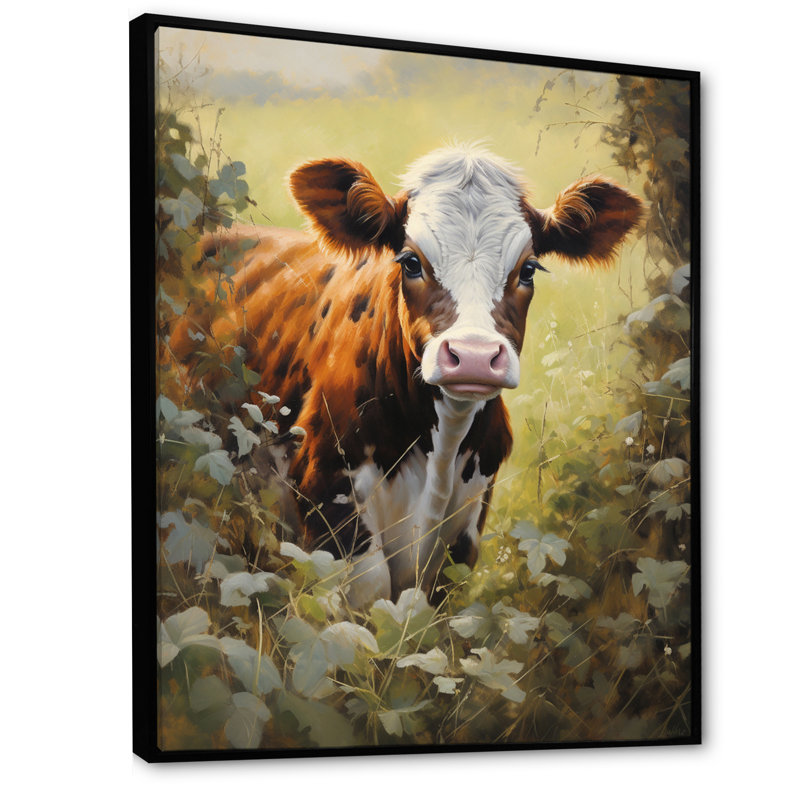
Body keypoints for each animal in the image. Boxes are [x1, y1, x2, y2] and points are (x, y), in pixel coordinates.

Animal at [170, 145, 643, 608]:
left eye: (528, 269)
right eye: (412, 262)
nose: (473, 356)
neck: (441, 447)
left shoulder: (463, 530)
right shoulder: (329, 497)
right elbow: (369, 597)